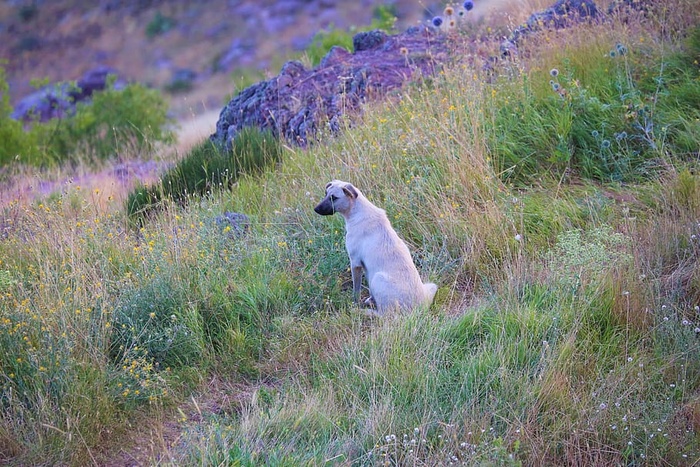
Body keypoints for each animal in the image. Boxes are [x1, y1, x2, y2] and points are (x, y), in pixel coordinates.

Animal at [314, 181, 434, 316]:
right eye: (326, 194)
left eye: (334, 198)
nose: (315, 209)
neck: (356, 211)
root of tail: (419, 309)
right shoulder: (365, 268)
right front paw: (370, 299)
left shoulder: (355, 263)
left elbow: (356, 290)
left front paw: (354, 304)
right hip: (430, 286)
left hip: (378, 279)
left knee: (383, 315)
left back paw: (361, 311)